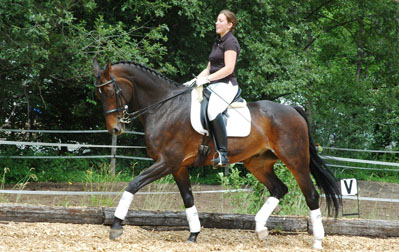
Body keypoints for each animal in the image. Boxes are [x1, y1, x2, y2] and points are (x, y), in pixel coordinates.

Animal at [93, 59, 340, 250]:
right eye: (98, 95)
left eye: (110, 91)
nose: (115, 129)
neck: (163, 108)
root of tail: (293, 109)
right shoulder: (178, 166)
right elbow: (188, 198)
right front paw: (193, 234)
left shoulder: (167, 162)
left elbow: (133, 185)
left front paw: (116, 226)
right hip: (258, 163)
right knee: (279, 188)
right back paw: (260, 229)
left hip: (295, 160)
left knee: (311, 195)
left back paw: (317, 241)